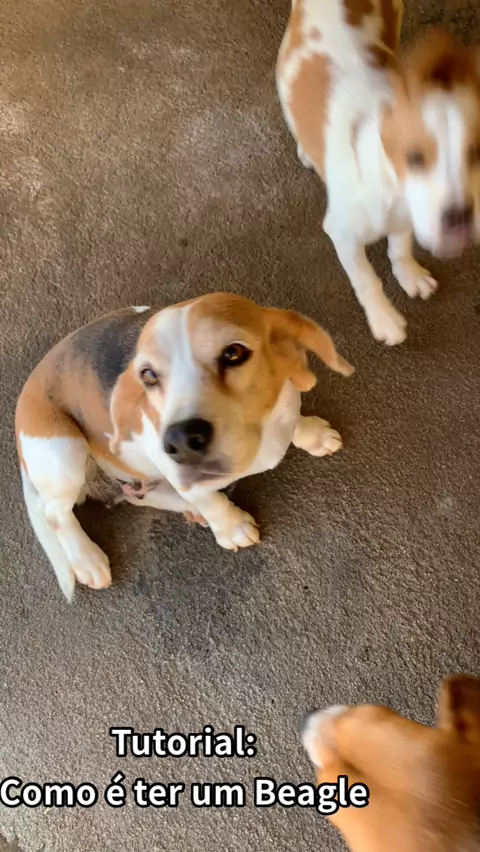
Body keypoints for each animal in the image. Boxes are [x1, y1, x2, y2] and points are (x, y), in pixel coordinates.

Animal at [16, 293, 354, 600]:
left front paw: (312, 434)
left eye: (234, 353)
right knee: (55, 512)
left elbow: (295, 420)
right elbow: (211, 501)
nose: (180, 441)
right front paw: (231, 528)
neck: (261, 434)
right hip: (64, 452)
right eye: (148, 375)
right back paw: (87, 559)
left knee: (136, 496)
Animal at [277, 1, 480, 345]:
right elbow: (366, 280)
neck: (390, 186)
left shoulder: (406, 218)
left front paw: (409, 275)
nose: (459, 220)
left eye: (477, 152)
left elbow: (400, 248)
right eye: (414, 158)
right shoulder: (342, 234)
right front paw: (383, 318)